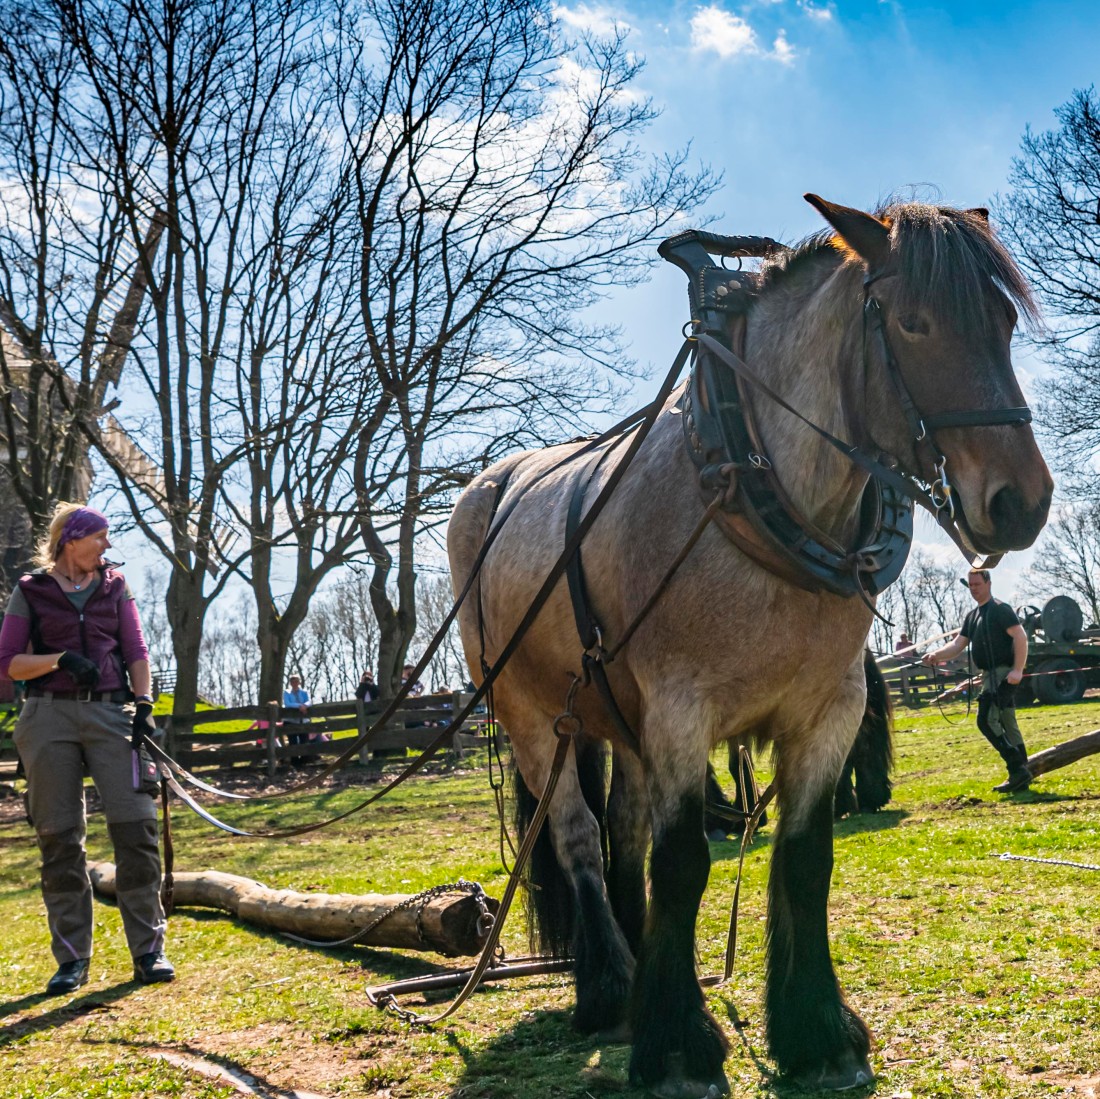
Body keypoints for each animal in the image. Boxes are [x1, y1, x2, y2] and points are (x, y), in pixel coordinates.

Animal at [444, 200, 1047, 1099]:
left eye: (1004, 321)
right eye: (912, 322)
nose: (1023, 503)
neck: (755, 491)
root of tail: (490, 483)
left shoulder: (829, 710)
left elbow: (803, 857)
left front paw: (817, 1031)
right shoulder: (681, 712)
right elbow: (684, 861)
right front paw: (678, 1045)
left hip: (618, 716)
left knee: (625, 833)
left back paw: (639, 973)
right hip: (530, 712)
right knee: (580, 835)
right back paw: (612, 989)